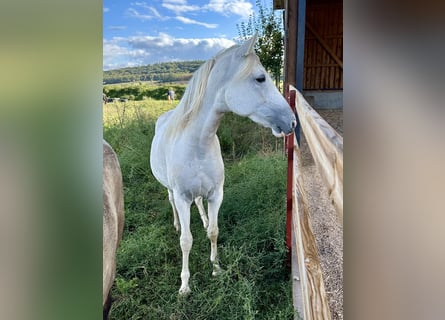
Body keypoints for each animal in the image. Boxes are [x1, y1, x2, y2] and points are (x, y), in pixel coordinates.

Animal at [148, 35, 294, 296]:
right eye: (260, 78)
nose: (292, 121)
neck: (197, 145)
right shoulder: (183, 197)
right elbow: (186, 241)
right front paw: (184, 285)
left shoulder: (216, 194)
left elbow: (213, 232)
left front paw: (216, 269)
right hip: (171, 190)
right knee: (171, 202)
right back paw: (176, 224)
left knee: (199, 205)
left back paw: (204, 219)